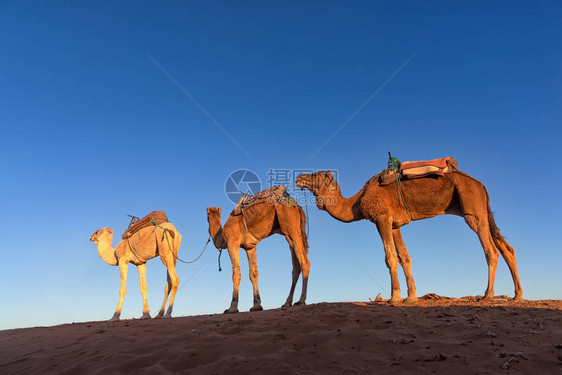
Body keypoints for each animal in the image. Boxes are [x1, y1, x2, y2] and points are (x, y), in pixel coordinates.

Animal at [296, 170, 524, 306]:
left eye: (316, 175)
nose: (299, 178)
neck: (357, 202)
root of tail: (481, 186)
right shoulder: (395, 224)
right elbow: (404, 257)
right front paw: (411, 297)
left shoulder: (381, 218)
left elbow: (390, 258)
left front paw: (394, 297)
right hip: (482, 211)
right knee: (507, 247)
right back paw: (517, 295)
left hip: (472, 209)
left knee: (491, 249)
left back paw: (487, 295)